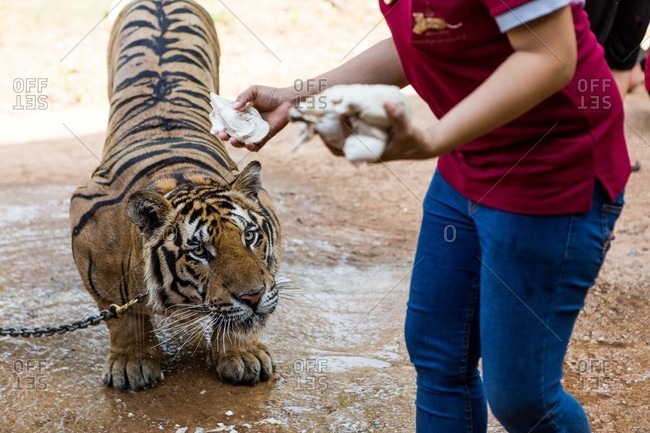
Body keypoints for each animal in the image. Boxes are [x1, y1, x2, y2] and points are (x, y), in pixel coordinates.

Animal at [69, 0, 282, 391]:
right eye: (199, 251)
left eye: (249, 237)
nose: (253, 297)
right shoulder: (87, 235)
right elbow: (121, 314)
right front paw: (132, 364)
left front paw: (243, 355)